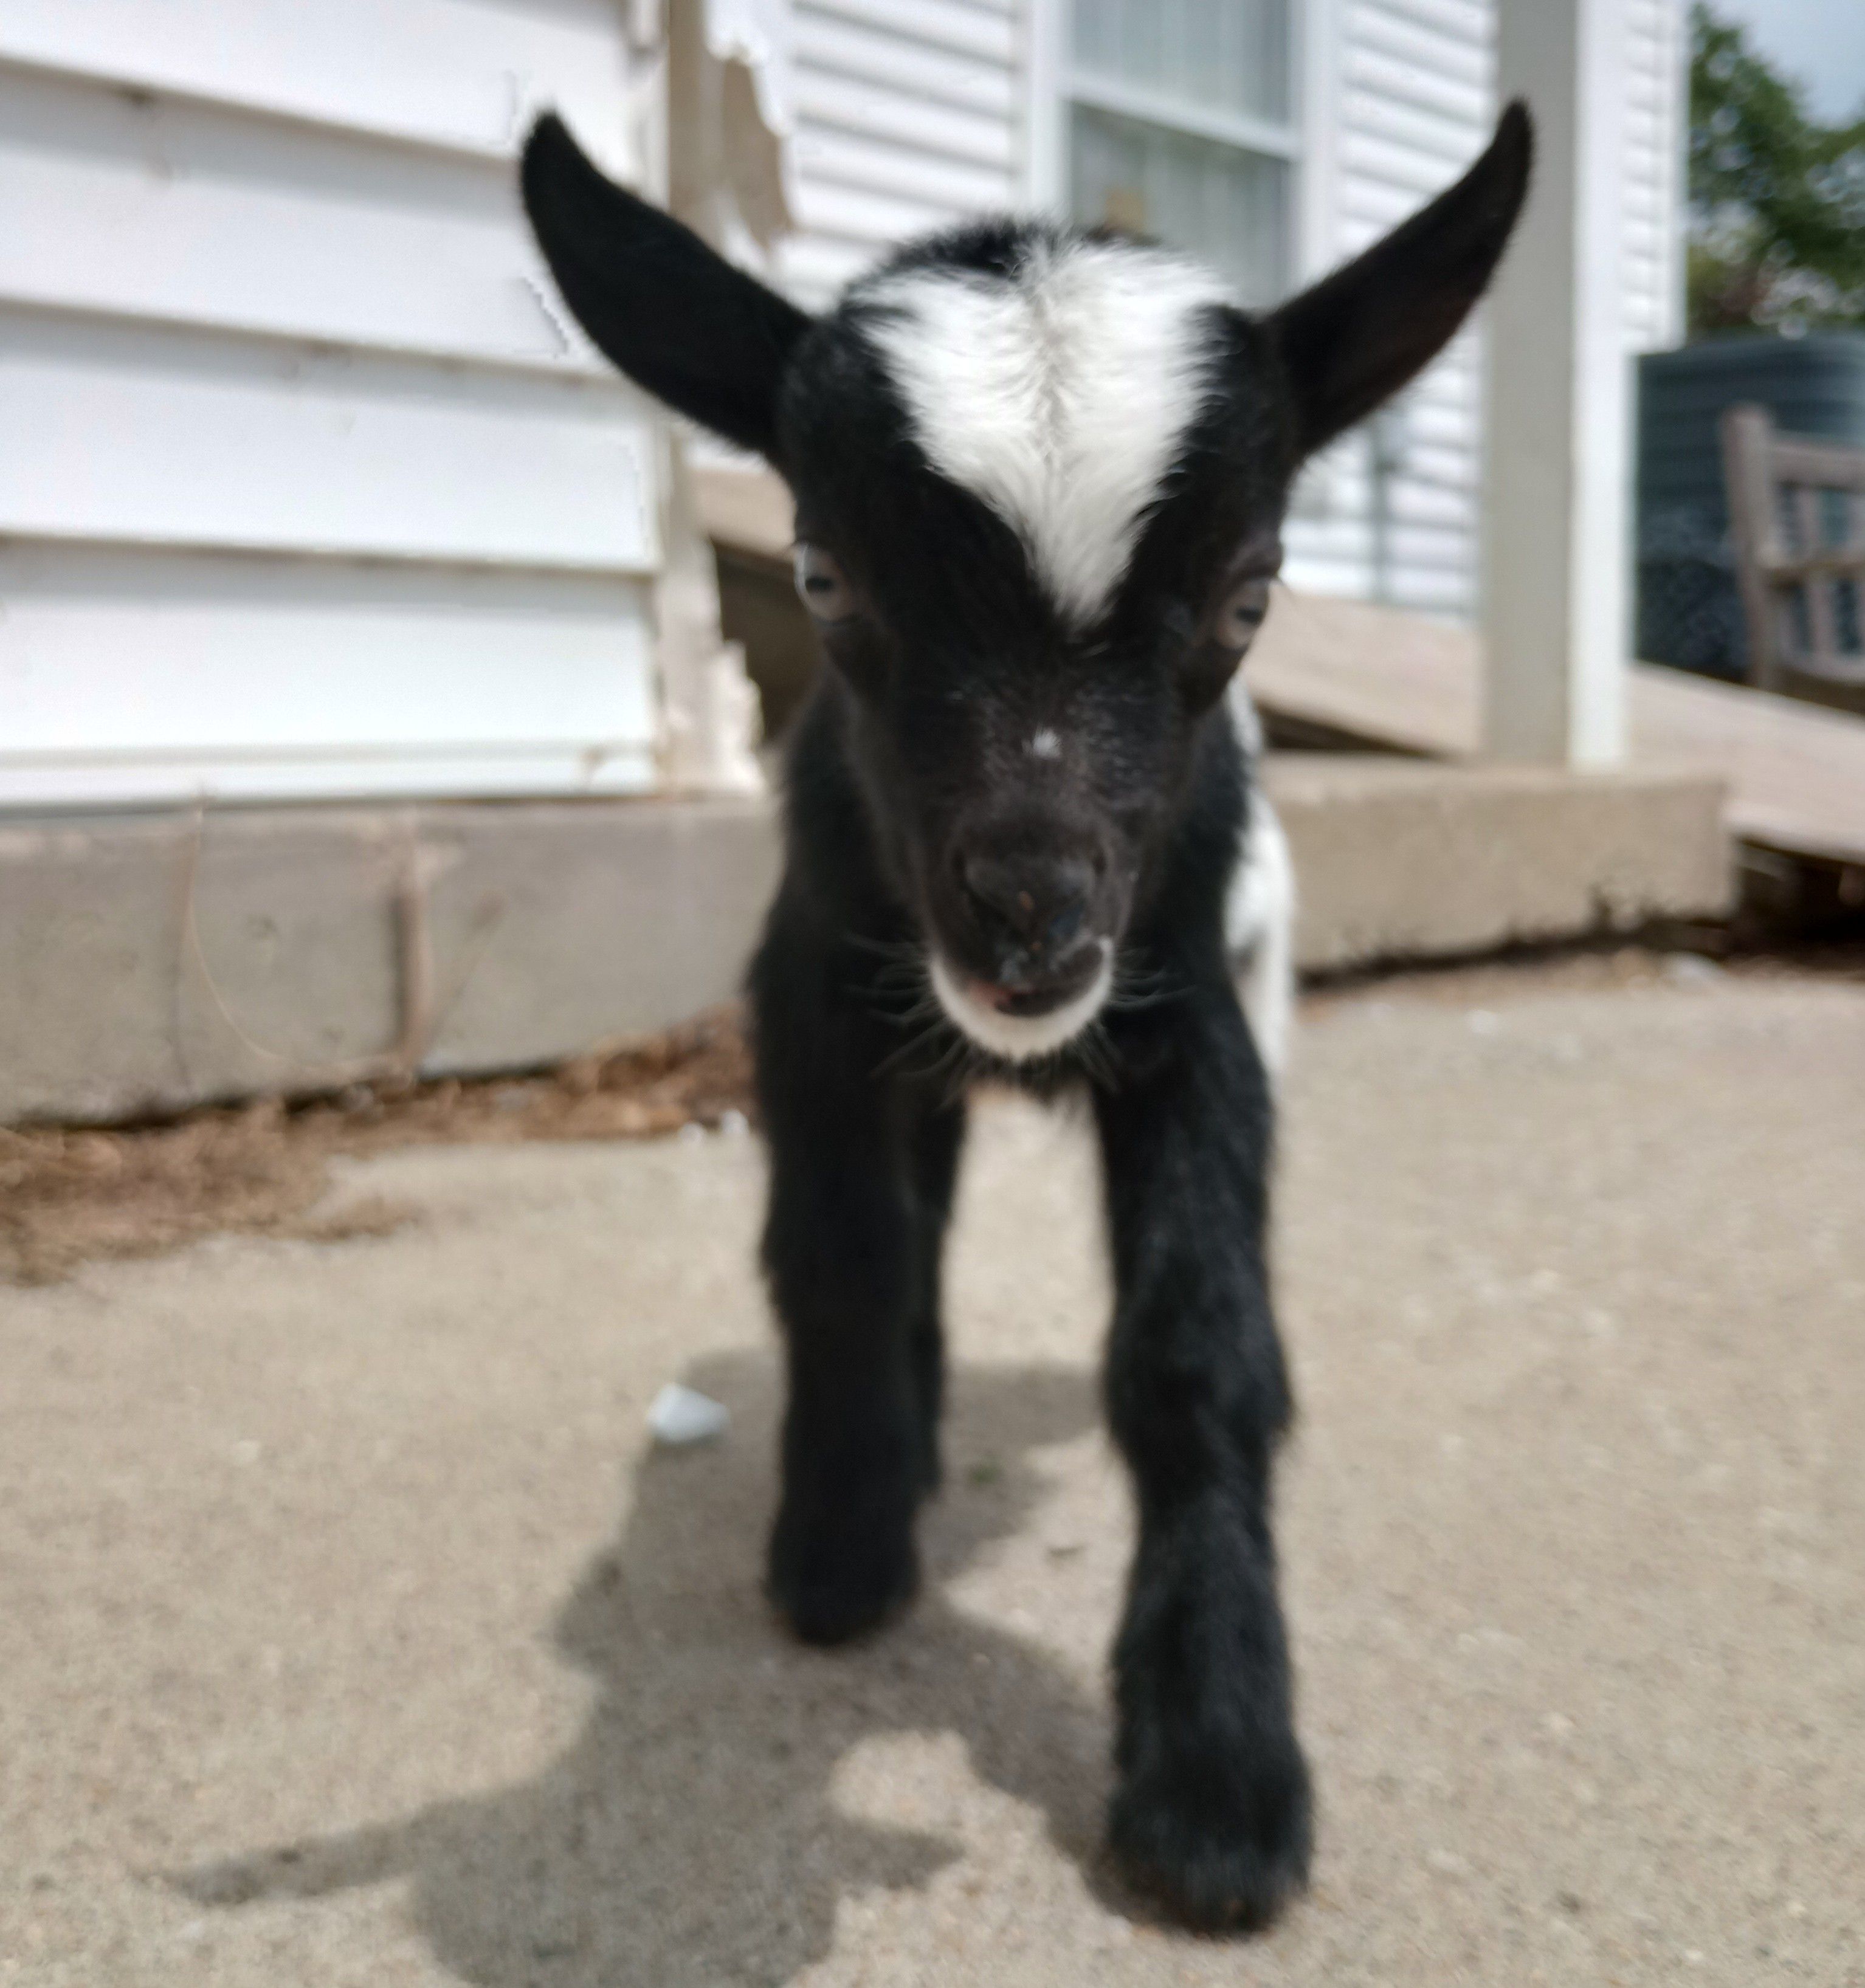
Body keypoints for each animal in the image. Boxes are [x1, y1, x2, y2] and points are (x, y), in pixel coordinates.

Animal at [520, 105, 1526, 1924]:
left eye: (1250, 594)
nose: (1032, 914)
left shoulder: (1200, 1019)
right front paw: (839, 1548)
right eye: (821, 575)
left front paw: (1216, 1778)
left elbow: (1195, 1344)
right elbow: (847, 1258)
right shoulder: (813, 996)